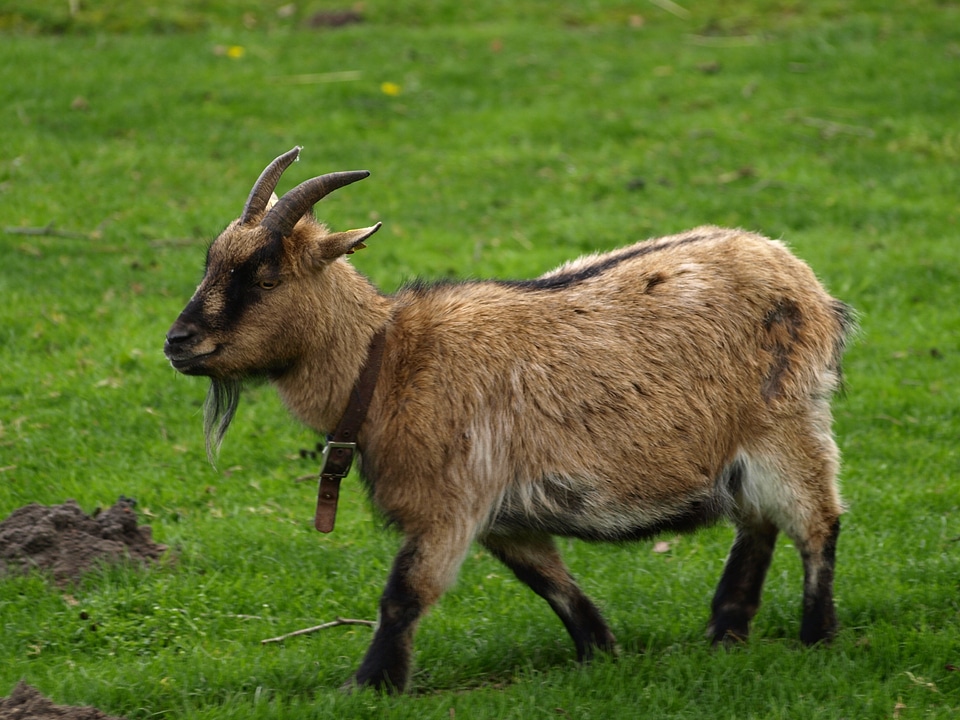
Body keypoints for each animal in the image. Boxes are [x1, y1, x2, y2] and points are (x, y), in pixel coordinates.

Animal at [165, 146, 856, 692]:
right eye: (211, 262)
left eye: (264, 277)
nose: (178, 342)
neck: (388, 364)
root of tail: (805, 281)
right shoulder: (504, 517)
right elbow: (551, 583)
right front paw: (602, 652)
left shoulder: (451, 503)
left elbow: (403, 594)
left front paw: (369, 685)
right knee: (758, 522)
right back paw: (725, 631)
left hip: (788, 424)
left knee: (816, 522)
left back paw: (817, 638)